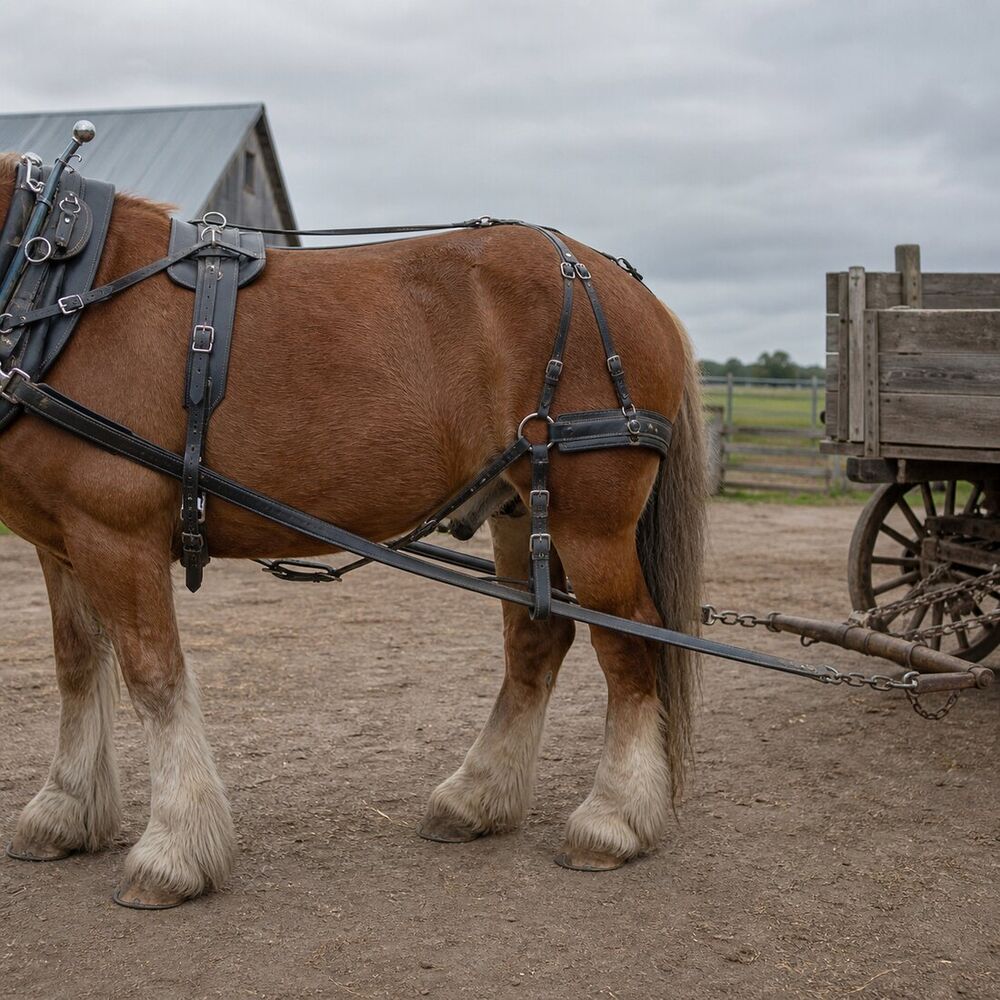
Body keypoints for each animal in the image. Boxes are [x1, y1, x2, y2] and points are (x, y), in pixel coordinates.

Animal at [0, 151, 705, 908]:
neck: (57, 276)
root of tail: (615, 278)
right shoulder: (61, 541)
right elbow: (78, 665)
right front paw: (64, 813)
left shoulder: (117, 531)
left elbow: (152, 676)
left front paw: (174, 851)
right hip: (522, 511)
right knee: (537, 639)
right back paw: (475, 798)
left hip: (591, 522)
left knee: (630, 641)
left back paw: (611, 819)